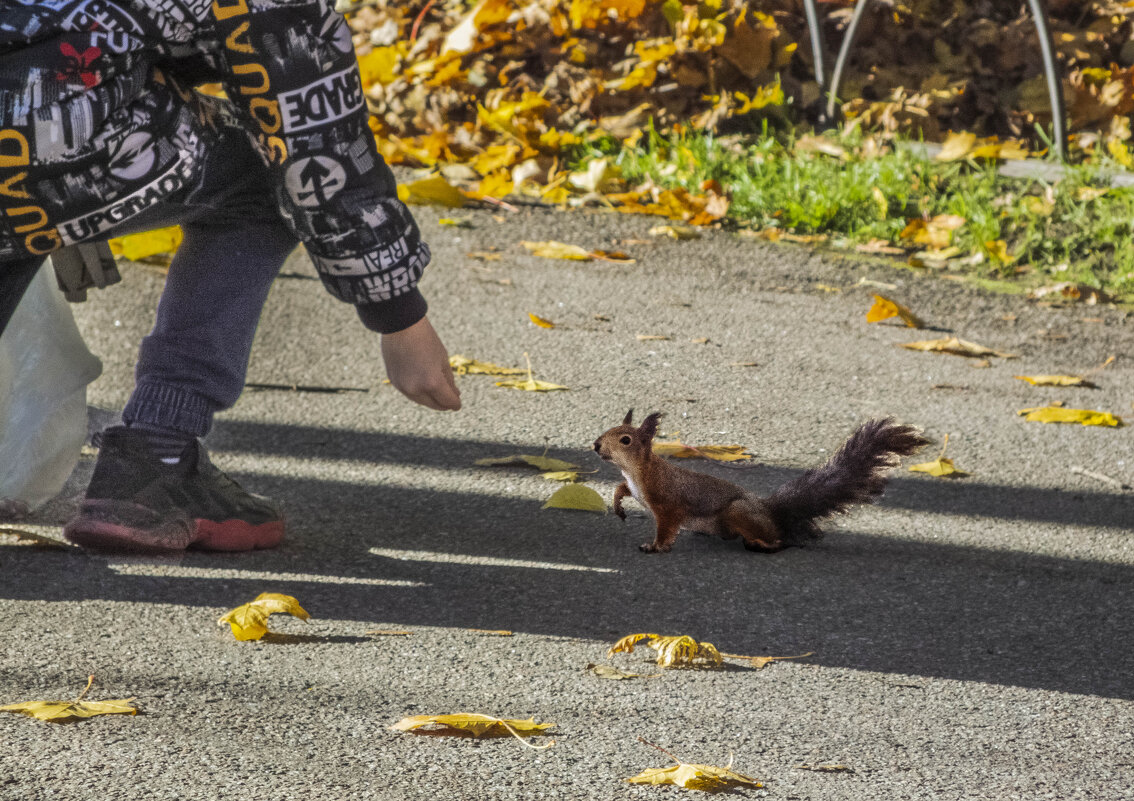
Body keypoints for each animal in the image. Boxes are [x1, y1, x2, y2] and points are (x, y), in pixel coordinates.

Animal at [594, 408, 929, 551]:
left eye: (625, 440)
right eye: (608, 429)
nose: (596, 445)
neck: (637, 471)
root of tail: (772, 512)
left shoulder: (667, 501)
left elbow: (666, 527)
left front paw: (656, 546)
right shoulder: (634, 486)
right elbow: (620, 489)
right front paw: (618, 505)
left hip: (738, 512)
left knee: (780, 540)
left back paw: (761, 544)